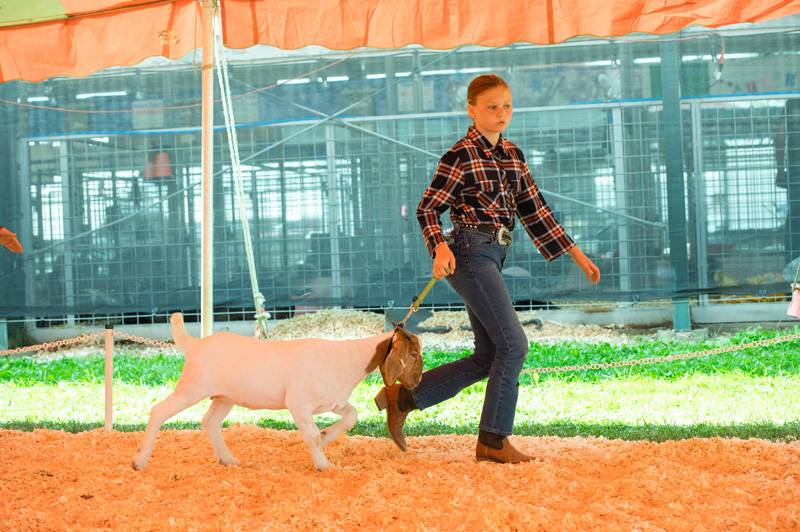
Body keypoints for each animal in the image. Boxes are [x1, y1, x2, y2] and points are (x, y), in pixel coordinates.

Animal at [131, 314, 424, 472]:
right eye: (412, 354)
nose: (419, 379)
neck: (346, 359)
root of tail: (195, 346)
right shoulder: (298, 403)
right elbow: (311, 434)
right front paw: (323, 464)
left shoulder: (334, 401)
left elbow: (351, 416)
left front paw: (327, 436)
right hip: (192, 387)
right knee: (158, 411)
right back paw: (139, 461)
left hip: (224, 397)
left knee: (210, 422)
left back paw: (228, 459)